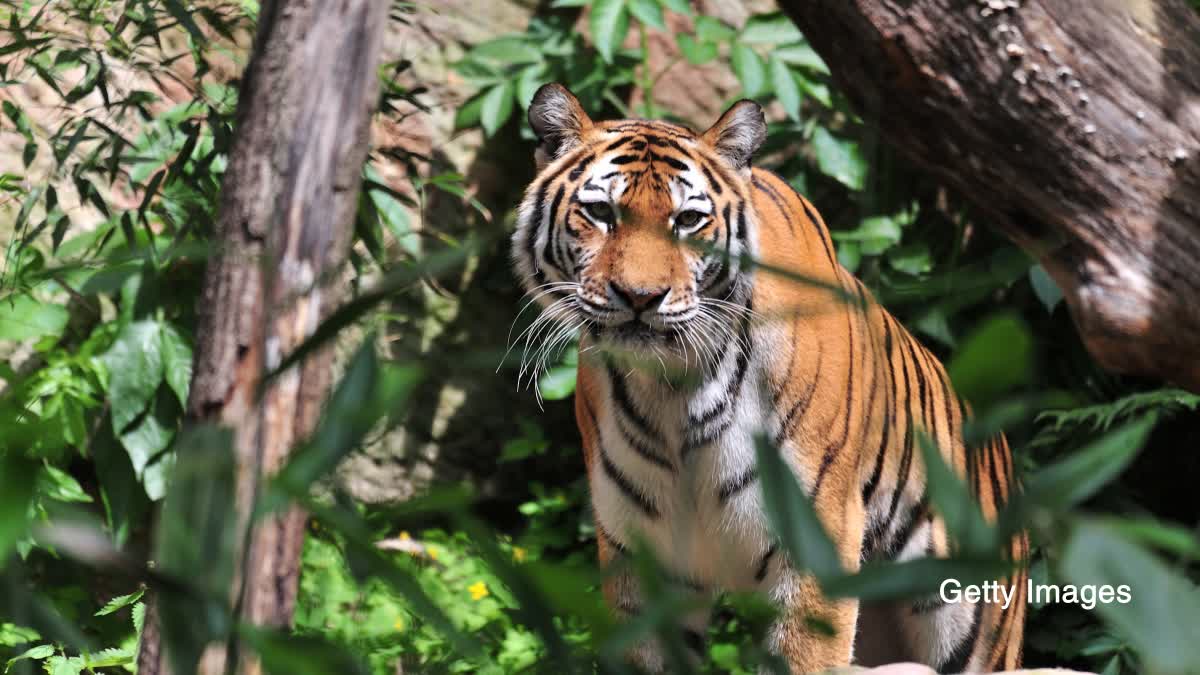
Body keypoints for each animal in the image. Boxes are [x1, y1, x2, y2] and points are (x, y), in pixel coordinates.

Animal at [511, 85, 1027, 672]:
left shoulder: (817, 546)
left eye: (687, 220)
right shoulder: (641, 559)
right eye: (600, 212)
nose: (641, 297)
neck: (673, 389)